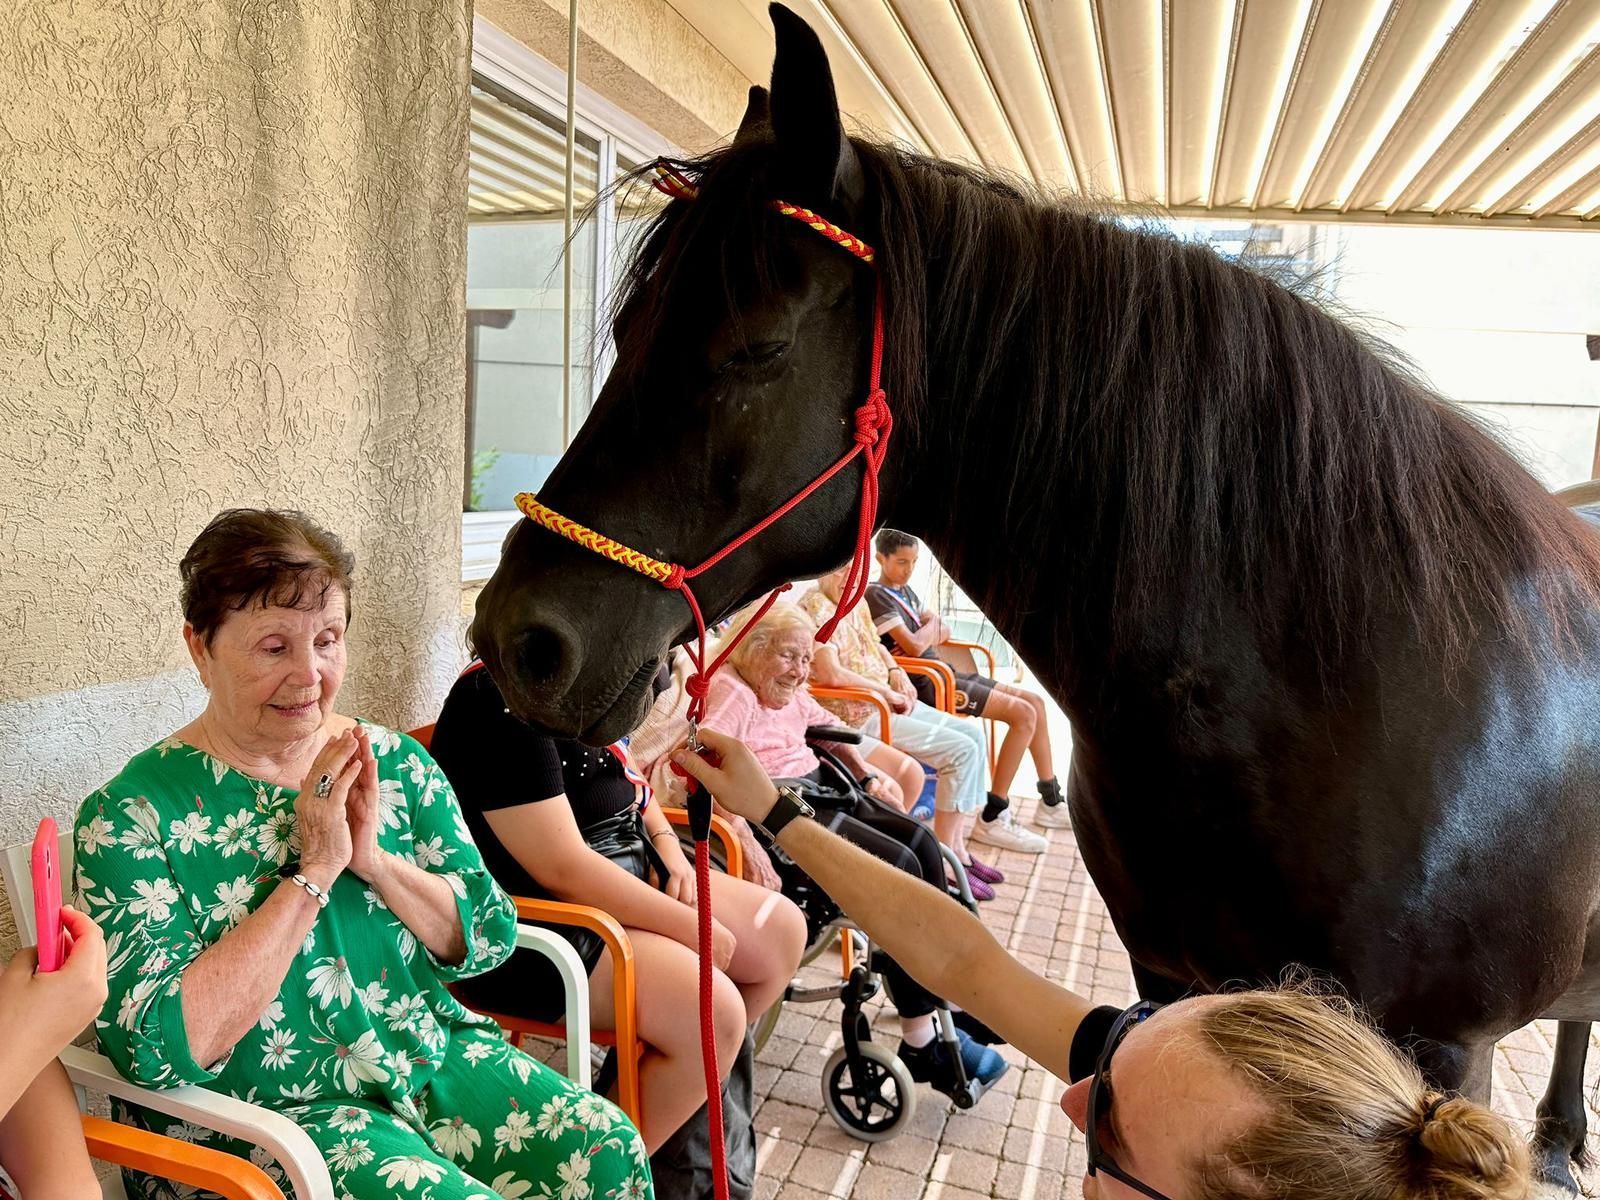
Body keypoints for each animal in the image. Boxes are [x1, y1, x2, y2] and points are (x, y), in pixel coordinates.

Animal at [471, 4, 1600, 1185]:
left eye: (758, 347)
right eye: (623, 330)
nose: (520, 641)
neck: (1342, 685)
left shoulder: (1437, 1052)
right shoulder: (1166, 983)